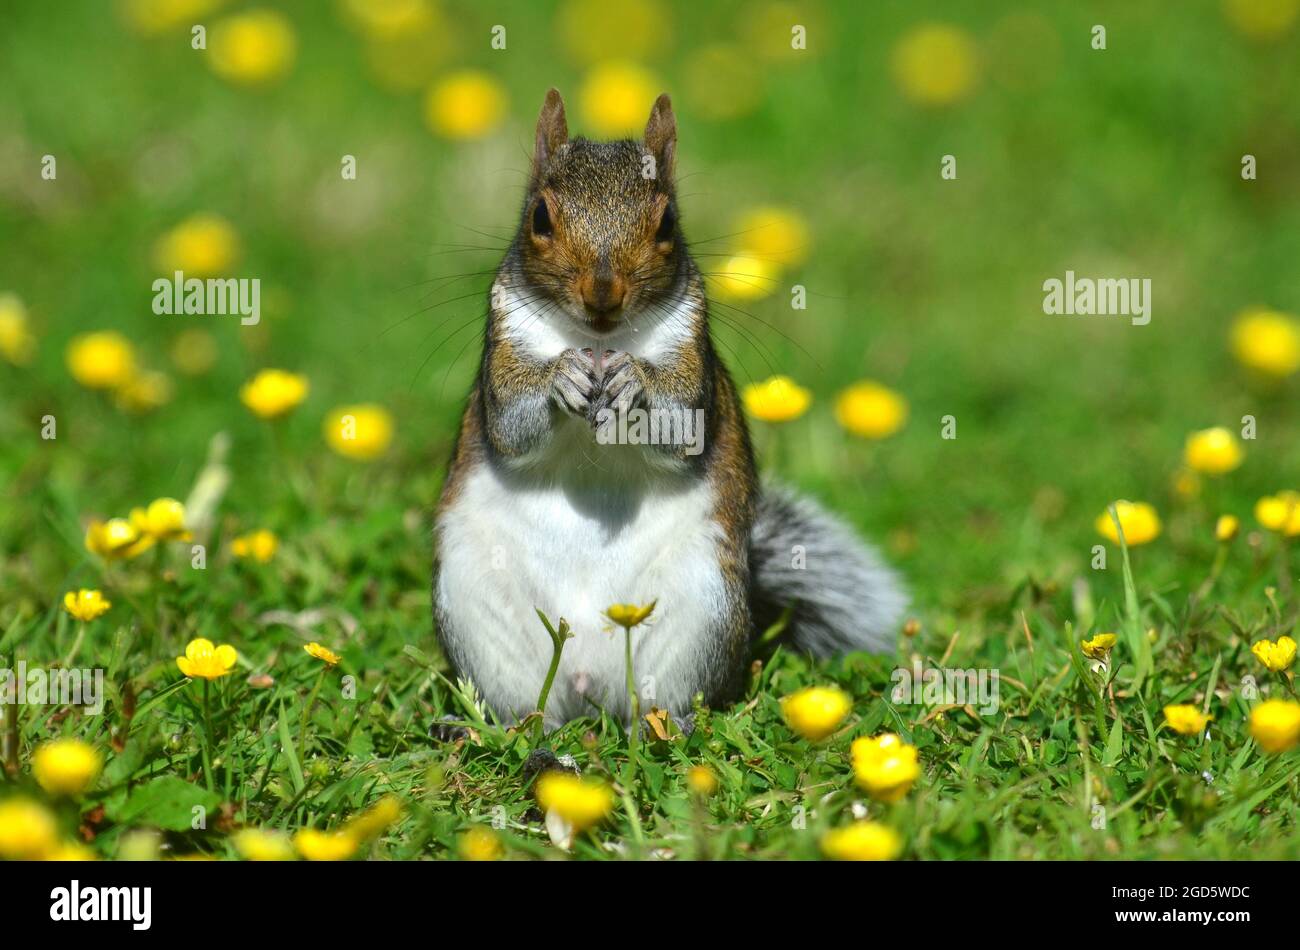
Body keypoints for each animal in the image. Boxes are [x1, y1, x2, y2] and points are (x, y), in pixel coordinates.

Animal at [434, 89, 905, 730]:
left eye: (667, 224)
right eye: (539, 217)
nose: (602, 295)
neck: (601, 342)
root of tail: (587, 683)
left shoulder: (691, 358)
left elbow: (682, 426)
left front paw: (636, 381)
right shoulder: (504, 349)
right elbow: (510, 423)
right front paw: (561, 375)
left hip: (702, 600)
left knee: (663, 697)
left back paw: (667, 727)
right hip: (472, 595)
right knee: (529, 705)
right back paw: (502, 729)